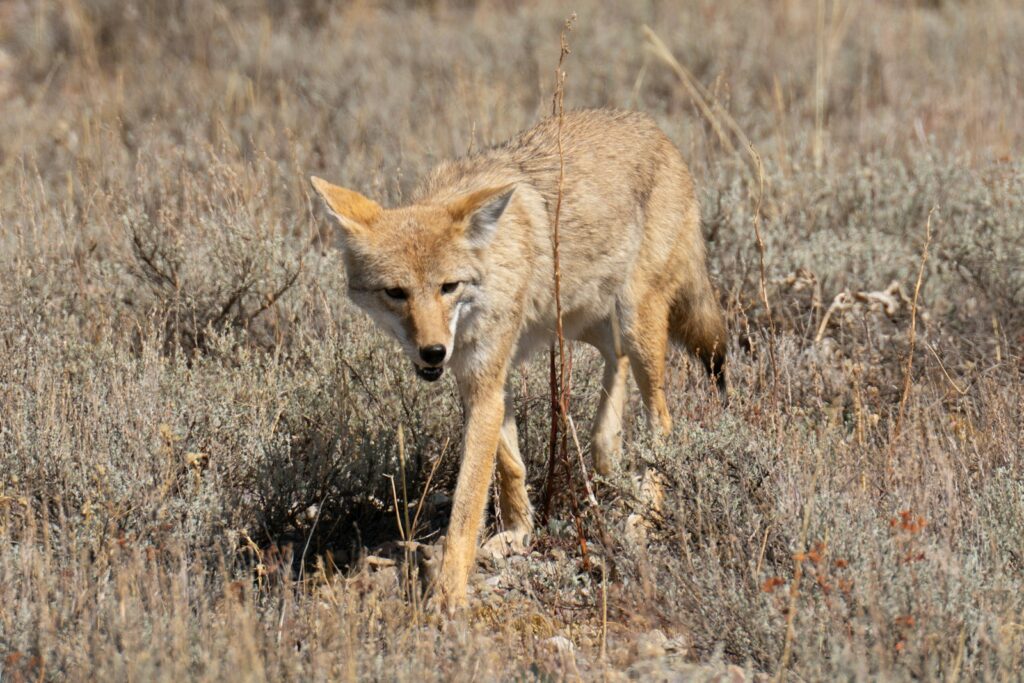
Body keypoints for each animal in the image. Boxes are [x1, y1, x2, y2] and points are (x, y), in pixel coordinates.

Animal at [311, 109, 726, 610]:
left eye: (448, 287)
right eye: (396, 293)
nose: (434, 351)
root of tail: (659, 133)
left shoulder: (485, 380)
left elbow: (468, 504)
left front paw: (448, 594)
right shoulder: (481, 382)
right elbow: (509, 466)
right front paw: (516, 533)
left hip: (634, 318)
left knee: (662, 423)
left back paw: (645, 512)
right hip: (583, 320)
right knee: (617, 368)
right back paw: (607, 453)